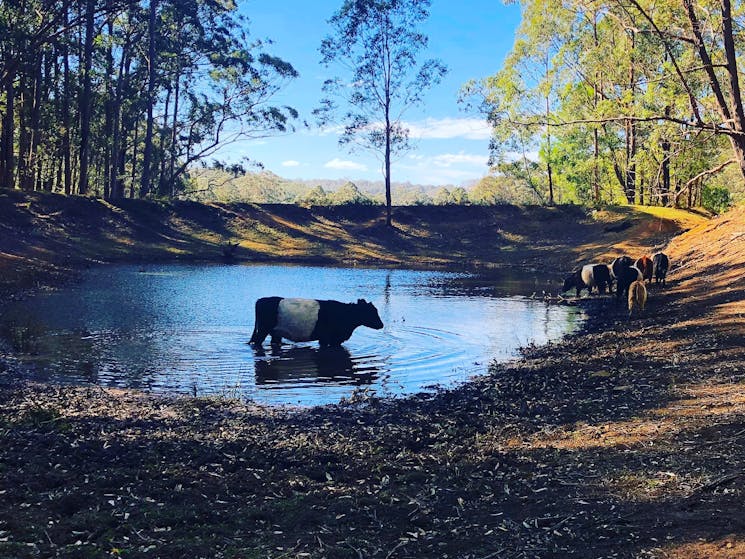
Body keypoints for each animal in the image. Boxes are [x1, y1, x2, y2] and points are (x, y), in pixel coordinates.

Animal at [250, 296, 384, 348]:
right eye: (371, 312)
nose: (381, 325)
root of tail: (260, 300)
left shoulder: (334, 340)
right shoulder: (327, 338)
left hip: (276, 333)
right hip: (263, 330)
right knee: (257, 342)